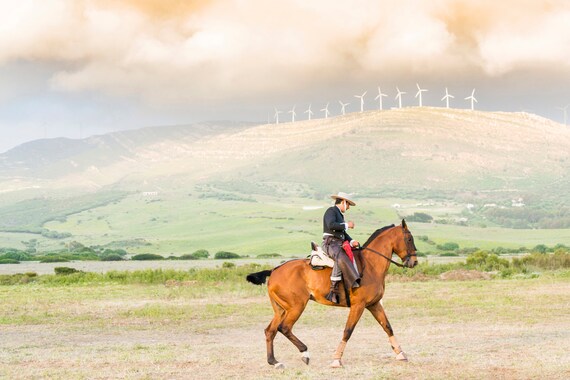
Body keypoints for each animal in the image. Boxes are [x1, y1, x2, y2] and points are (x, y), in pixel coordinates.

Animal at [245, 220, 418, 368]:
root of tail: (274, 270)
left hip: (281, 309)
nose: (414, 262)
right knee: (284, 328)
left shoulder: (373, 304)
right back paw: (305, 353)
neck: (371, 265)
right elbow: (348, 331)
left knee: (270, 331)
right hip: (296, 307)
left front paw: (401, 354)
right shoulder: (358, 306)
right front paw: (336, 360)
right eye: (409, 239)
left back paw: (274, 361)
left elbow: (387, 327)